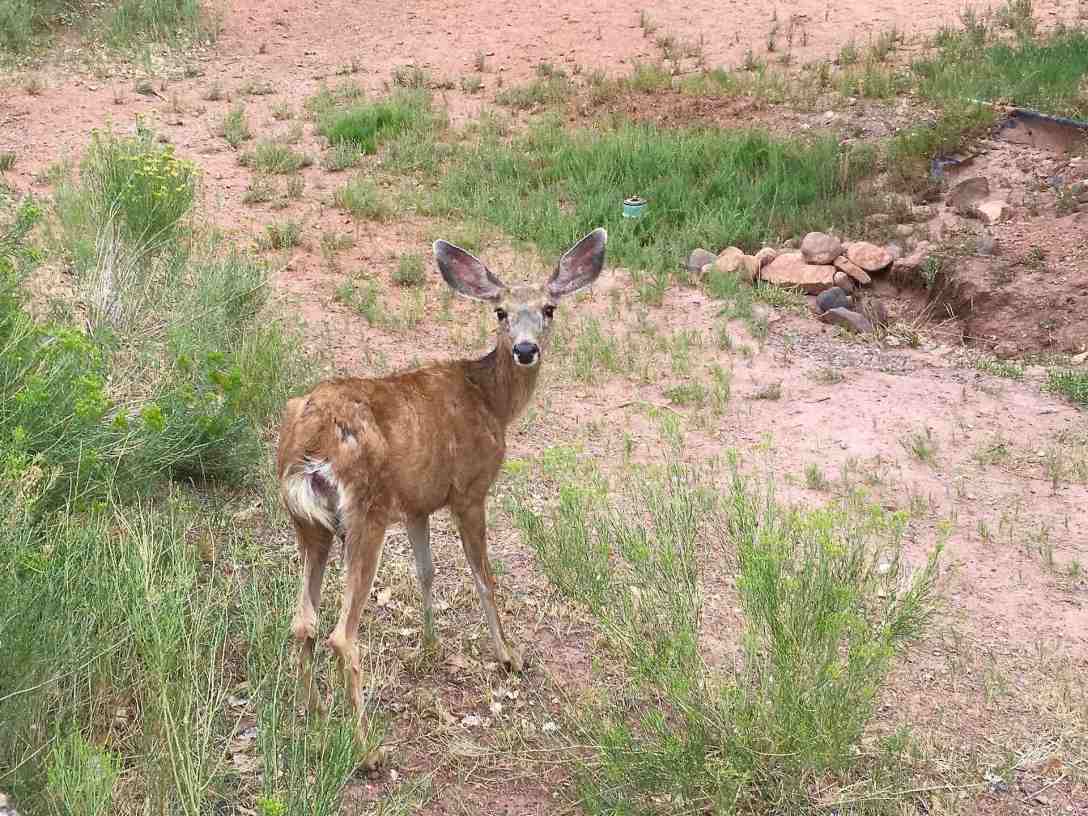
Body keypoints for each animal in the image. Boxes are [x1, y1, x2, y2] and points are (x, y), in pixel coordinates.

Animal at [276, 227, 608, 754]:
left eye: (549, 308)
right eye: (500, 312)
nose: (526, 349)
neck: (492, 401)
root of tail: (308, 442)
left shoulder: (417, 503)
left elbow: (426, 572)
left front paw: (429, 648)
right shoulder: (470, 491)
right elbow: (484, 577)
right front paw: (508, 657)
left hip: (309, 524)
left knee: (302, 623)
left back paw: (314, 714)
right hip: (364, 514)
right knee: (341, 635)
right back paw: (367, 749)